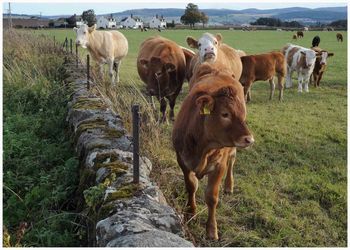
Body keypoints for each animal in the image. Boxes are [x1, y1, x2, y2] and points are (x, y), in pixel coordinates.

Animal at [173, 65, 253, 240]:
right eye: (225, 114)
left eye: (242, 114)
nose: (249, 139)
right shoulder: (182, 160)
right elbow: (191, 186)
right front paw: (191, 212)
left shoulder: (219, 166)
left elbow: (211, 197)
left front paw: (211, 230)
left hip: (231, 150)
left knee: (232, 160)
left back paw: (229, 185)